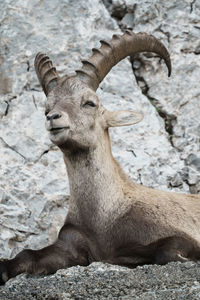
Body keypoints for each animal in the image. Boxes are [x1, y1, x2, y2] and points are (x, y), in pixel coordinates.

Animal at [0, 31, 200, 284]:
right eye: (46, 108)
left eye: (89, 103)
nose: (53, 118)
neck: (103, 215)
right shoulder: (71, 244)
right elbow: (27, 254)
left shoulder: (173, 233)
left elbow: (165, 250)